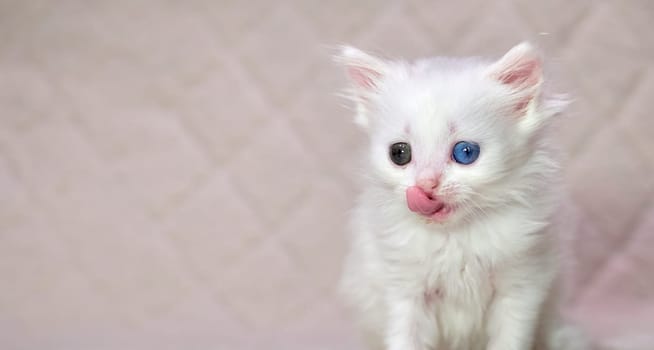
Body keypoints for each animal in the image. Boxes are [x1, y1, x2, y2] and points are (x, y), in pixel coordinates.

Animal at [338, 43, 588, 350]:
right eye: (399, 153)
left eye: (465, 152)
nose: (426, 185)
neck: (455, 237)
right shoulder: (405, 292)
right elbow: (405, 338)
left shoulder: (520, 286)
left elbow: (510, 340)